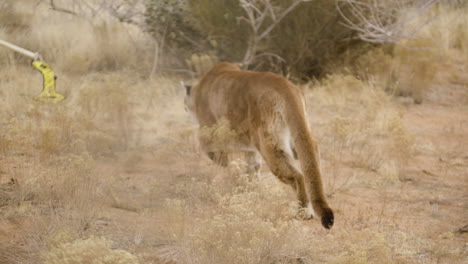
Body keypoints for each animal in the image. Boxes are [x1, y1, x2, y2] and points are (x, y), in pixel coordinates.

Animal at [185, 62, 334, 229]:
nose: (185, 109)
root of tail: (283, 85)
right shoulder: (249, 146)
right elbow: (253, 166)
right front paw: (252, 187)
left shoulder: (209, 134)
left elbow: (218, 157)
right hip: (298, 137)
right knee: (312, 162)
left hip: (270, 144)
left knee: (298, 176)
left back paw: (304, 212)